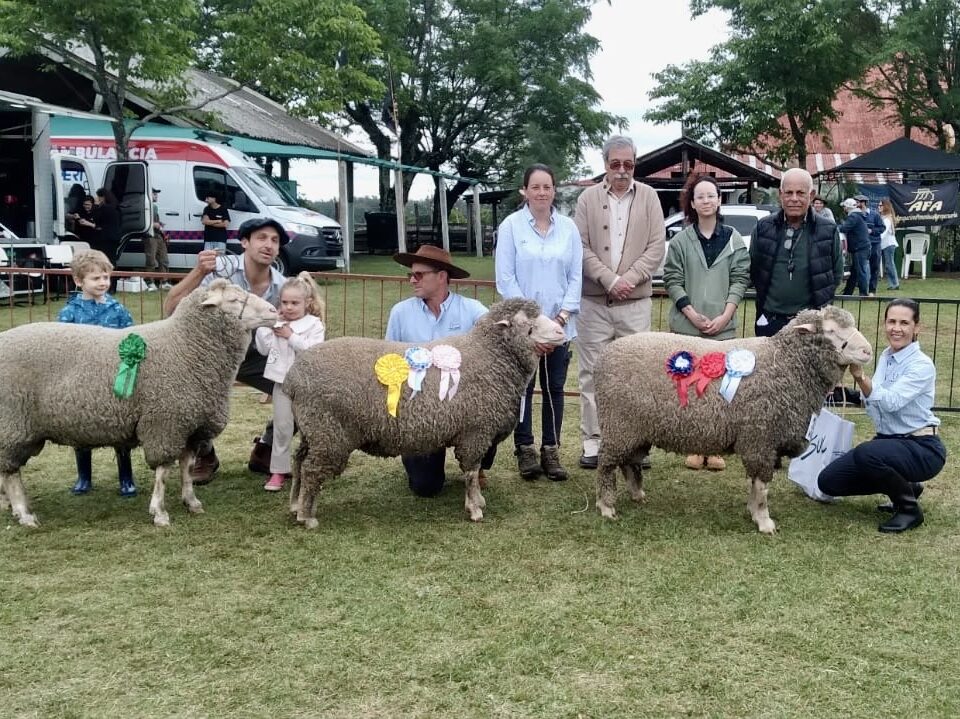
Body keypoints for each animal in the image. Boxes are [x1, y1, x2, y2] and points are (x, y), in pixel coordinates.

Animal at [0, 279, 278, 528]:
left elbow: (186, 469)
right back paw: (23, 513)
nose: (274, 311)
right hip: (13, 424)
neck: (185, 346)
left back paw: (11, 506)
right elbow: (163, 472)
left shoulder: (191, 428)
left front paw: (191, 502)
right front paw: (159, 513)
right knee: (11, 473)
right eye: (234, 300)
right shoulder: (165, 424)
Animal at [282, 298, 566, 528]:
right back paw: (307, 517)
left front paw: (478, 501)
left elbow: (473, 472)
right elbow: (471, 472)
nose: (561, 331)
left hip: (313, 429)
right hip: (329, 432)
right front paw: (474, 509)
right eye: (527, 324)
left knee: (298, 462)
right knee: (311, 469)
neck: (490, 356)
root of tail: (292, 378)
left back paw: (296, 505)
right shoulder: (475, 432)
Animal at [593, 306, 872, 534]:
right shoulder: (760, 437)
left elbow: (754, 483)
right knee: (606, 465)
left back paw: (637, 494)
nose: (868, 351)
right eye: (832, 330)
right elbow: (762, 485)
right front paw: (764, 521)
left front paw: (752, 511)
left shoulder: (759, 439)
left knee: (629, 462)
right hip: (618, 423)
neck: (785, 364)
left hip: (636, 428)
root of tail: (605, 355)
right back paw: (606, 506)